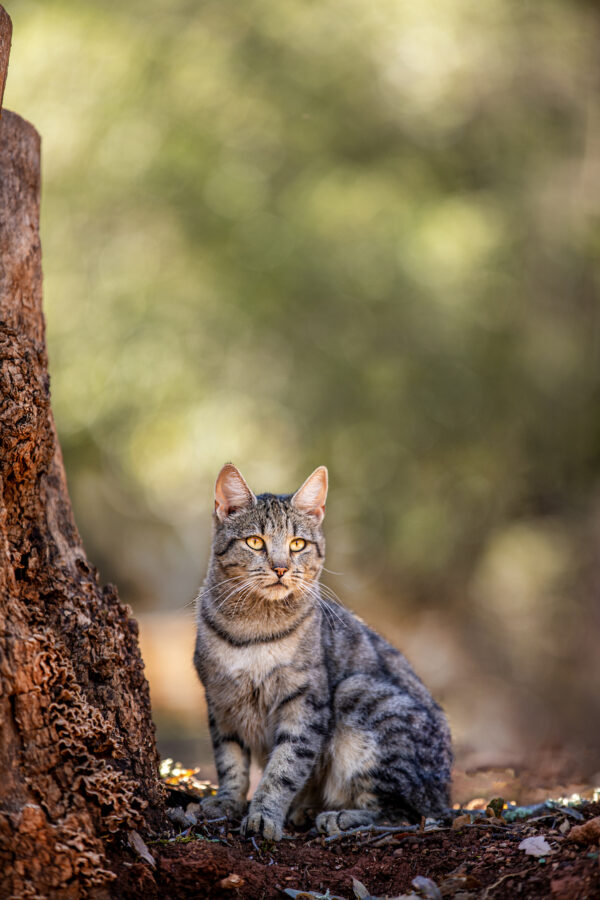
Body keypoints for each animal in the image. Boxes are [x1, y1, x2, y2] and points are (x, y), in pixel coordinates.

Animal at [195, 468, 452, 840]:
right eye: (255, 542)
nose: (281, 568)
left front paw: (264, 816)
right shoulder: (220, 700)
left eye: (297, 544)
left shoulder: (305, 703)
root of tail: (446, 795)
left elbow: (283, 768)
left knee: (405, 814)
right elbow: (230, 760)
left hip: (359, 693)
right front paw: (227, 801)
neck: (252, 629)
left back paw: (340, 817)